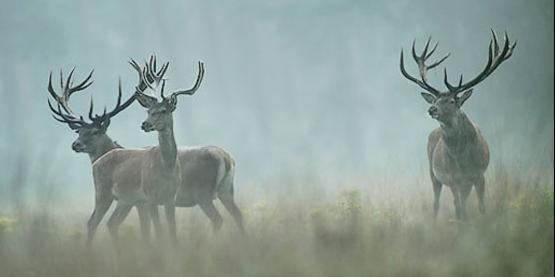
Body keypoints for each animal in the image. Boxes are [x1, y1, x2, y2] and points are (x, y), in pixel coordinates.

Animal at [48, 56, 168, 244]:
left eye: (95, 131)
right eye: (79, 131)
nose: (75, 144)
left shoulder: (137, 201)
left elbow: (145, 229)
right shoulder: (134, 201)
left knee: (95, 222)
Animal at [132, 59, 245, 235]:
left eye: (163, 110)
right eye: (148, 110)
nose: (145, 124)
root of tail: (227, 159)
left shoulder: (149, 199)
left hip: (203, 193)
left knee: (218, 219)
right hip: (227, 190)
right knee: (238, 215)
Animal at [400, 30, 516, 219]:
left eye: (452, 100)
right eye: (436, 100)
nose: (432, 109)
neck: (463, 159)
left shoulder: (479, 174)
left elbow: (481, 206)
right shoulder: (454, 178)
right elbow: (460, 208)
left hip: (463, 182)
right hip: (434, 174)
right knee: (439, 203)